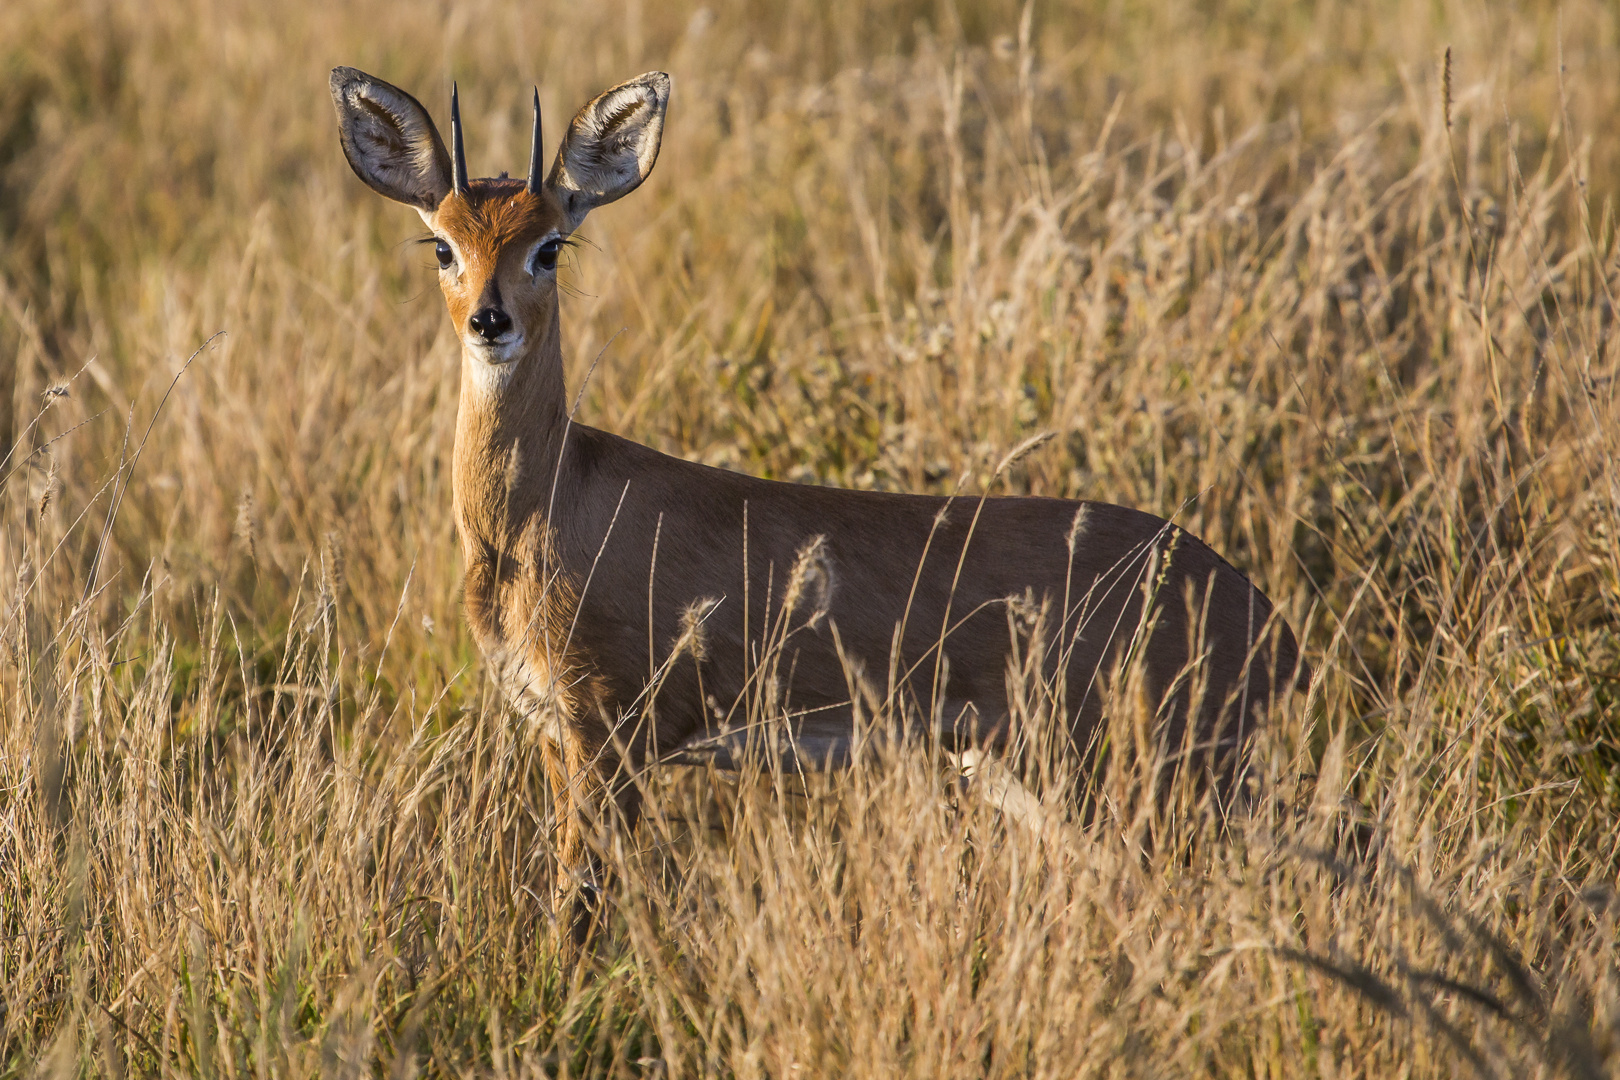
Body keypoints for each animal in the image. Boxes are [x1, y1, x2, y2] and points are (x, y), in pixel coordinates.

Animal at [328, 69, 1302, 939]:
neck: (546, 509)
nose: (490, 323)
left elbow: (578, 910)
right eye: (444, 244)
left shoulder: (612, 730)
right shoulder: (554, 731)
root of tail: (1262, 612)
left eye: (549, 245)